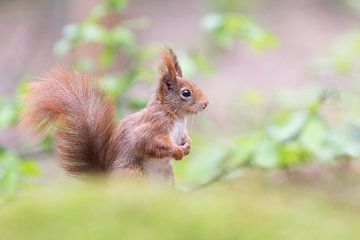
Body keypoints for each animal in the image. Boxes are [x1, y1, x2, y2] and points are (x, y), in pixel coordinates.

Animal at [20, 47, 208, 185]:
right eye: (186, 93)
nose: (206, 103)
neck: (176, 117)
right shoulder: (153, 126)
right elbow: (147, 142)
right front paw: (177, 151)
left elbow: (186, 138)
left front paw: (188, 146)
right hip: (133, 174)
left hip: (166, 177)